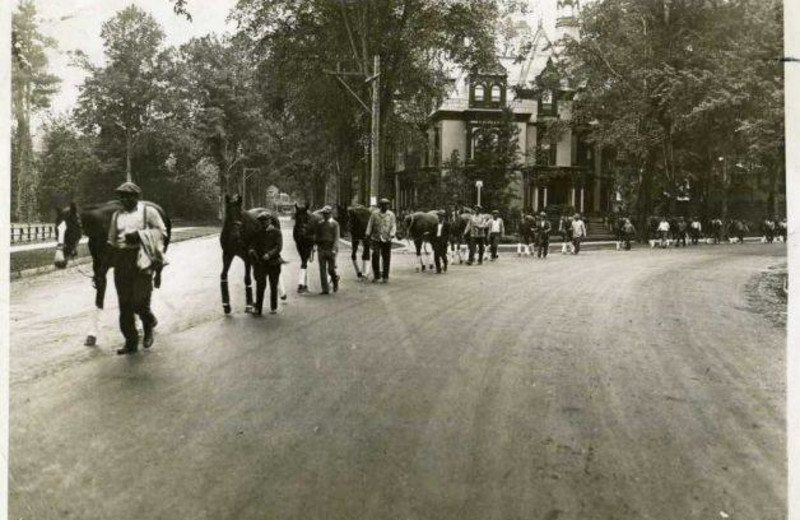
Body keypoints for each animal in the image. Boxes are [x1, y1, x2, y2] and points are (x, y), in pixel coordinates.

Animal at [54, 201, 172, 348]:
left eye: (70, 229)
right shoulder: (99, 269)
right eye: (56, 230)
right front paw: (92, 335)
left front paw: (144, 323)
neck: (102, 227)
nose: (59, 262)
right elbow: (99, 301)